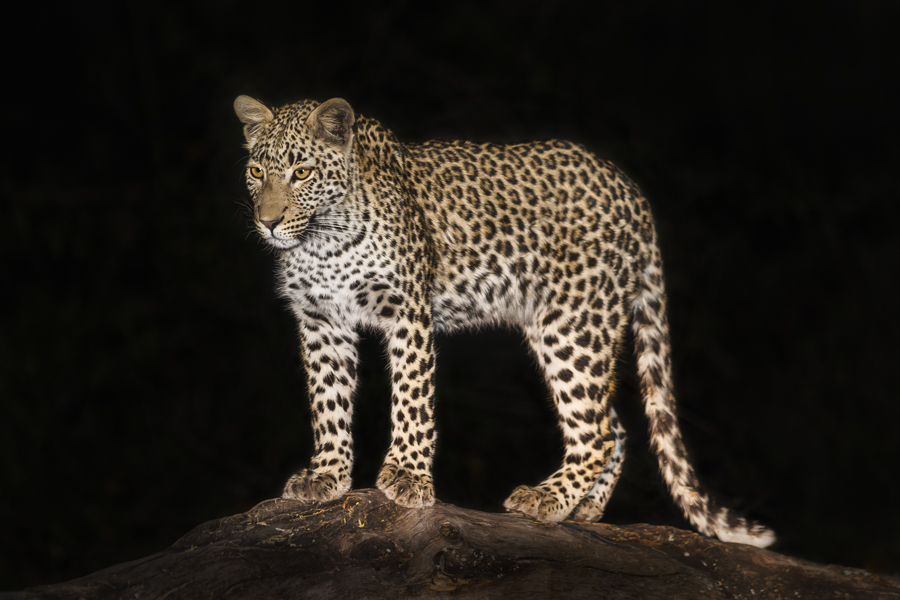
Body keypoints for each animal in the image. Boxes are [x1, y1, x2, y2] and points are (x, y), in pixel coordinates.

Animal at [233, 94, 776, 547]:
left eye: (302, 172)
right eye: (257, 171)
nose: (268, 221)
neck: (321, 242)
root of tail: (631, 191)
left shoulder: (407, 310)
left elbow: (411, 398)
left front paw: (407, 476)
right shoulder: (321, 320)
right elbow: (328, 402)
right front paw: (326, 475)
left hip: (574, 322)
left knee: (598, 430)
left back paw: (548, 498)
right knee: (614, 425)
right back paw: (583, 509)